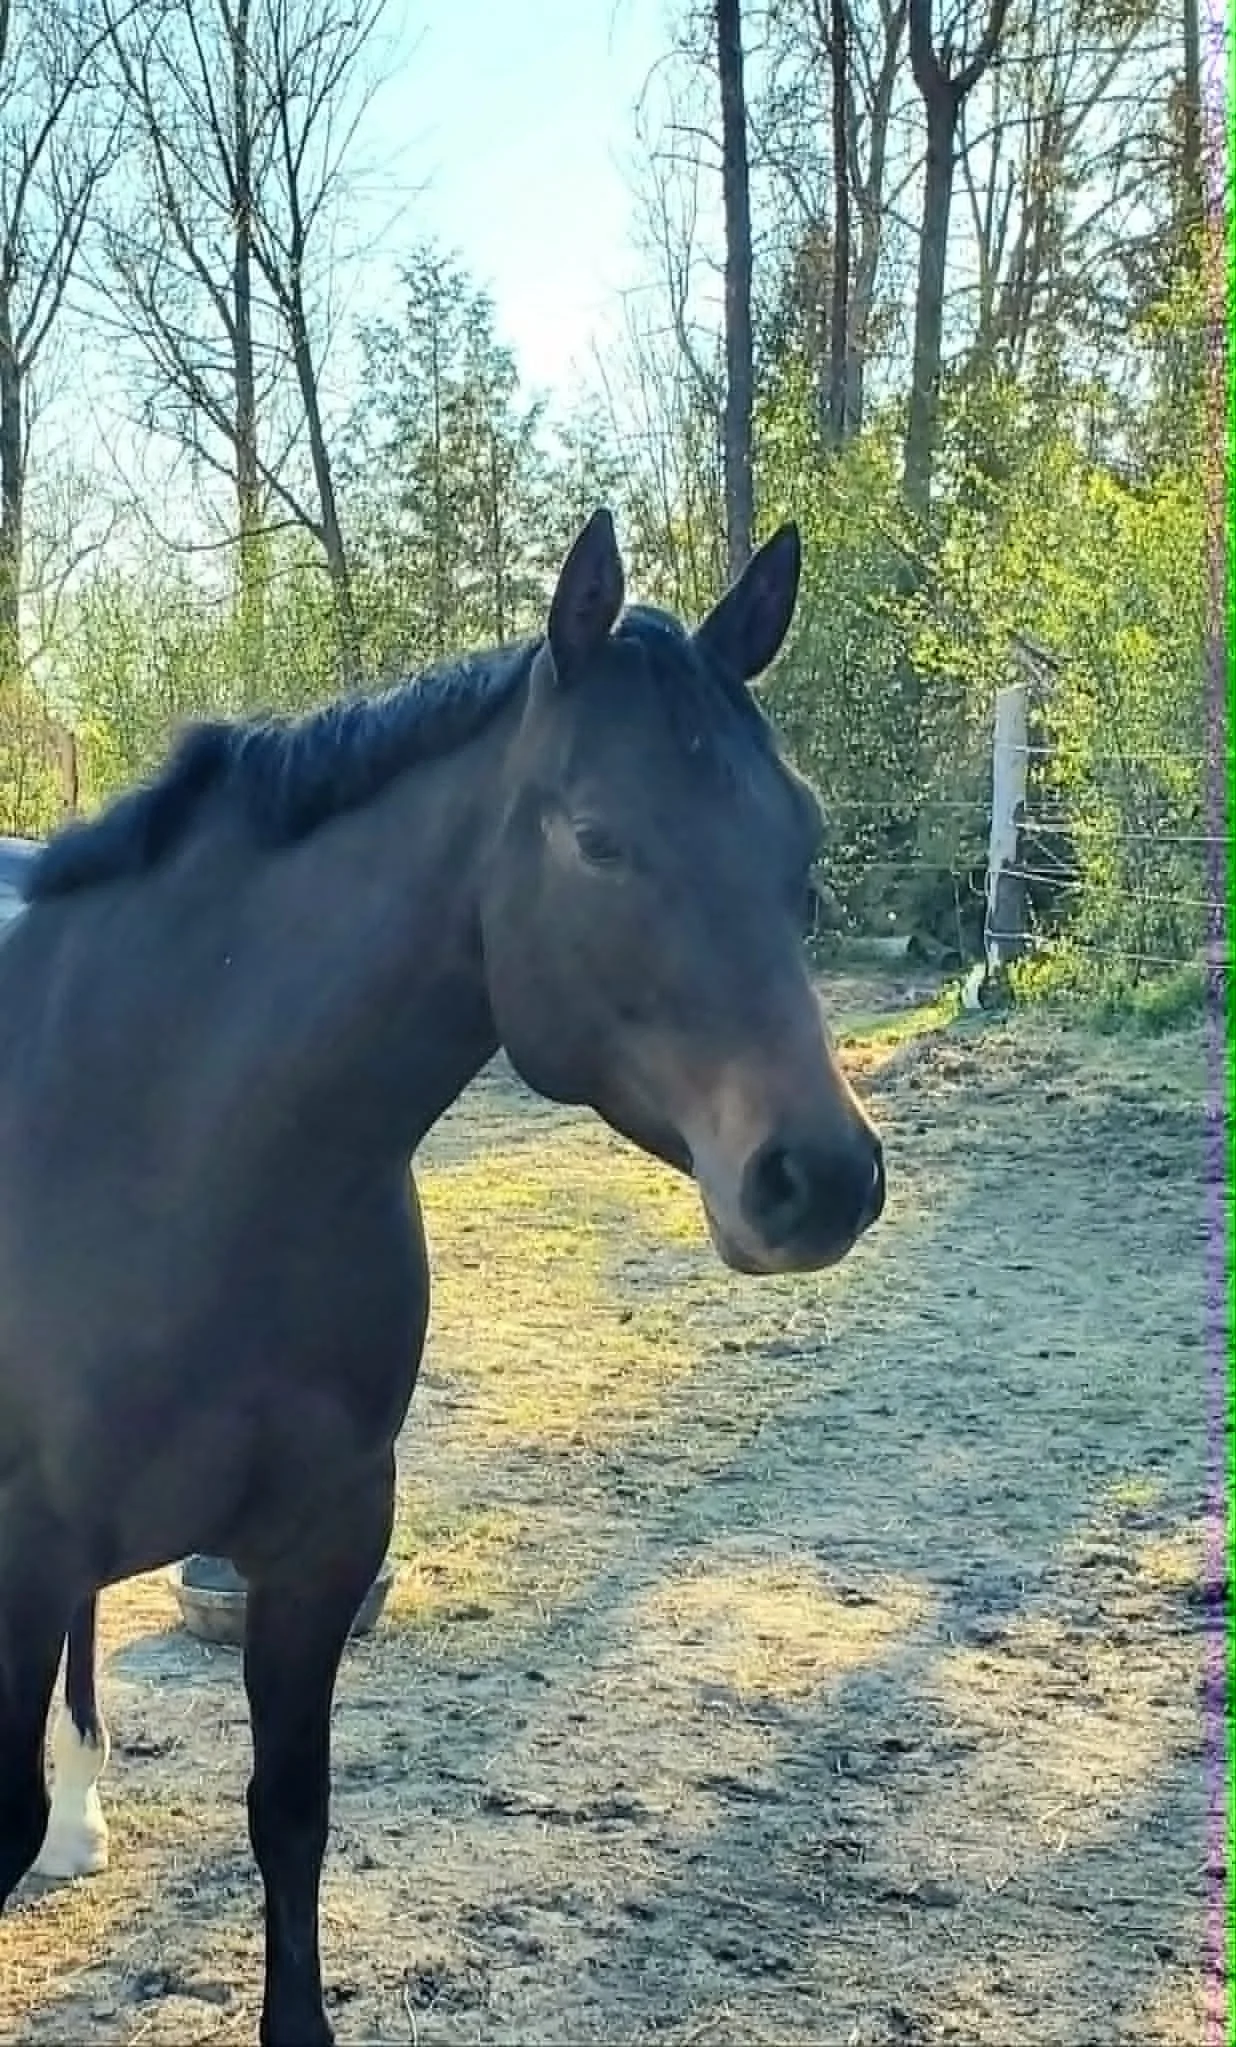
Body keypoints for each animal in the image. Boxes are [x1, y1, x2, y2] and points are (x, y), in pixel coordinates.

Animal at [0, 510, 885, 2045]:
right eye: (597, 837)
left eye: (805, 841)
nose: (820, 1177)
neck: (161, 1134)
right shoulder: (19, 1546)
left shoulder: (323, 1537)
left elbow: (290, 1818)